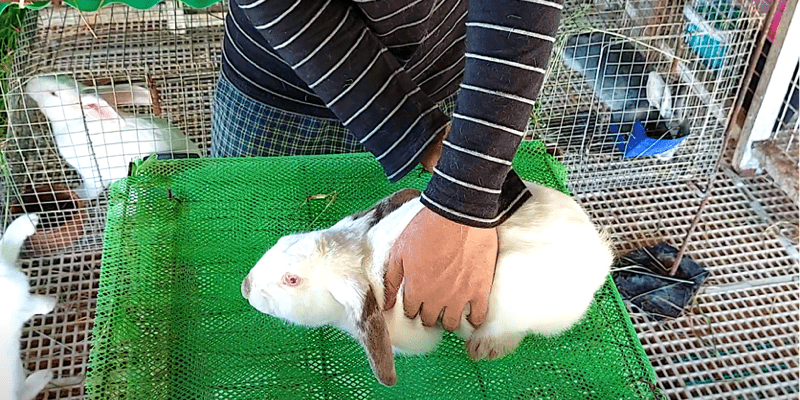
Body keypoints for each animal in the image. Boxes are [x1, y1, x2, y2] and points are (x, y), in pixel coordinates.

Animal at [0, 214, 57, 400]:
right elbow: (34, 304)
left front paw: (28, 221)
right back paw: (44, 376)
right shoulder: (17, 306)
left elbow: (7, 243)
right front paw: (50, 303)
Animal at [24, 75, 204, 200]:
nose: (29, 83)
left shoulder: (92, 174)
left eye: (53, 93)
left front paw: (76, 193)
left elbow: (90, 191)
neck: (72, 120)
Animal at [241, 182, 614, 386]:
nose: (245, 287)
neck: (363, 259)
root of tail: (598, 258)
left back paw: (485, 348)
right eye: (284, 240)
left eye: (292, 280)